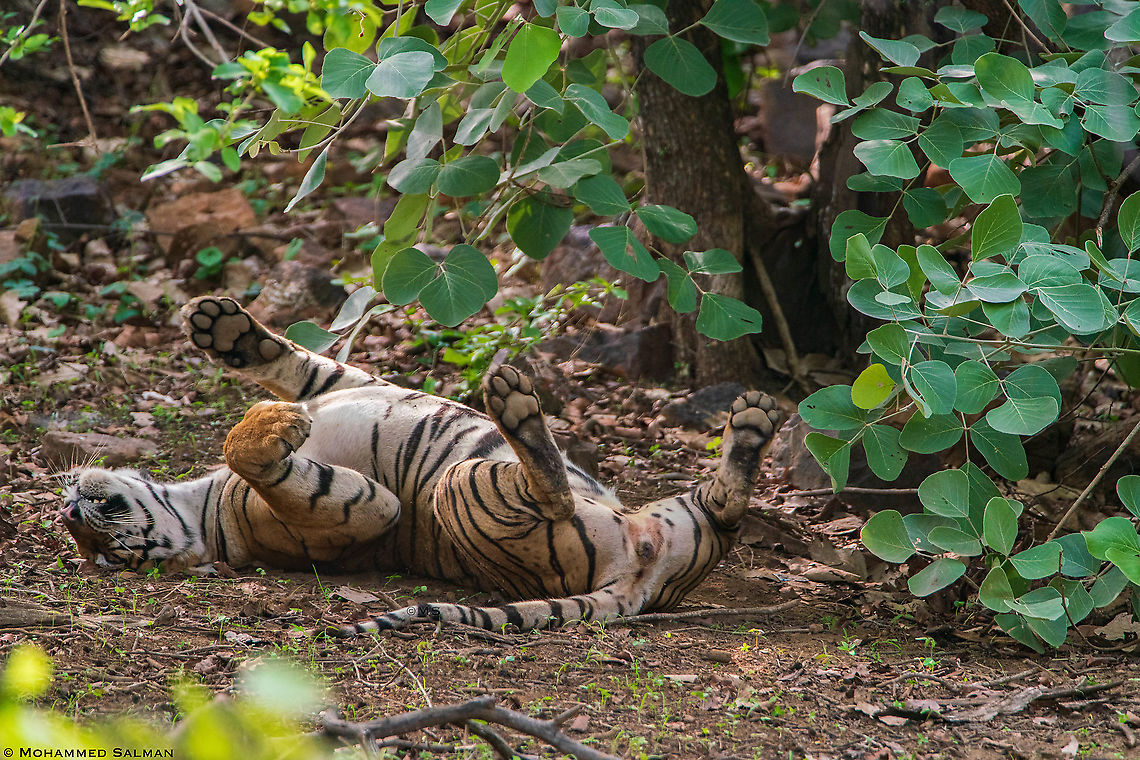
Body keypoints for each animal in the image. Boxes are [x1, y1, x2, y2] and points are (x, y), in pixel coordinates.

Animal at [60, 296, 783, 634]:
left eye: (93, 532)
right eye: (106, 552)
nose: (71, 508)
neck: (201, 505)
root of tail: (642, 580)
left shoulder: (343, 380)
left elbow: (297, 361)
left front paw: (220, 328)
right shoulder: (368, 506)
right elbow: (266, 455)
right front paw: (274, 425)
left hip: (681, 514)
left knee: (723, 508)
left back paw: (750, 424)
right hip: (460, 487)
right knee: (549, 487)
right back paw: (515, 404)